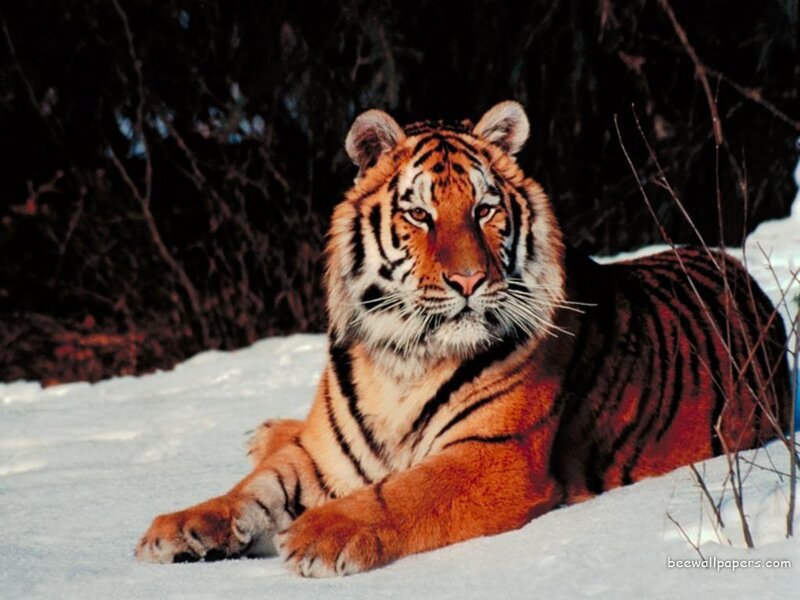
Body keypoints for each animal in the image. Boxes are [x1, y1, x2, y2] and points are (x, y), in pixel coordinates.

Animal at [136, 101, 792, 576]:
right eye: (419, 215)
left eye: (483, 210)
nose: (470, 281)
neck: (402, 359)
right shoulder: (323, 452)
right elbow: (253, 490)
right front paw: (178, 528)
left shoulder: (495, 454)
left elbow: (401, 492)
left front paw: (321, 534)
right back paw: (264, 432)